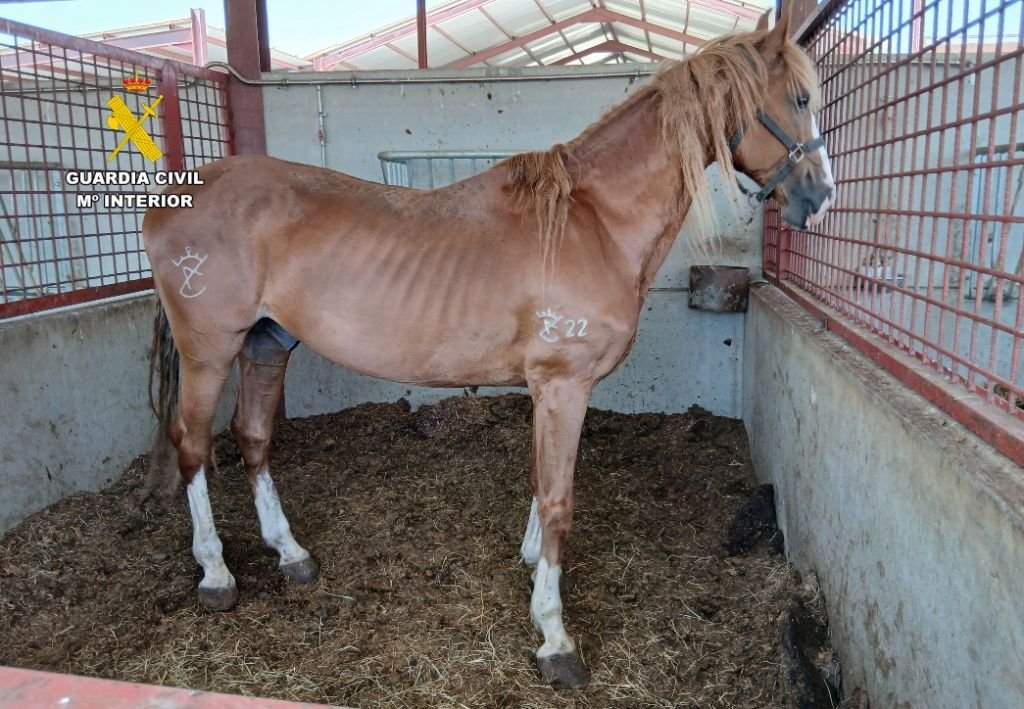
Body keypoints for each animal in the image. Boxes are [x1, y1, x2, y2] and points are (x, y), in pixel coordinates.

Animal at [142, 8, 834, 688]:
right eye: (800, 98)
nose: (820, 199)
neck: (593, 223)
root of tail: (182, 192)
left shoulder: (546, 391)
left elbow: (538, 480)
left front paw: (530, 564)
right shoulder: (563, 386)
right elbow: (558, 501)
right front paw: (554, 636)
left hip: (267, 344)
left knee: (253, 437)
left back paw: (291, 555)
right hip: (210, 351)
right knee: (194, 444)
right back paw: (216, 575)